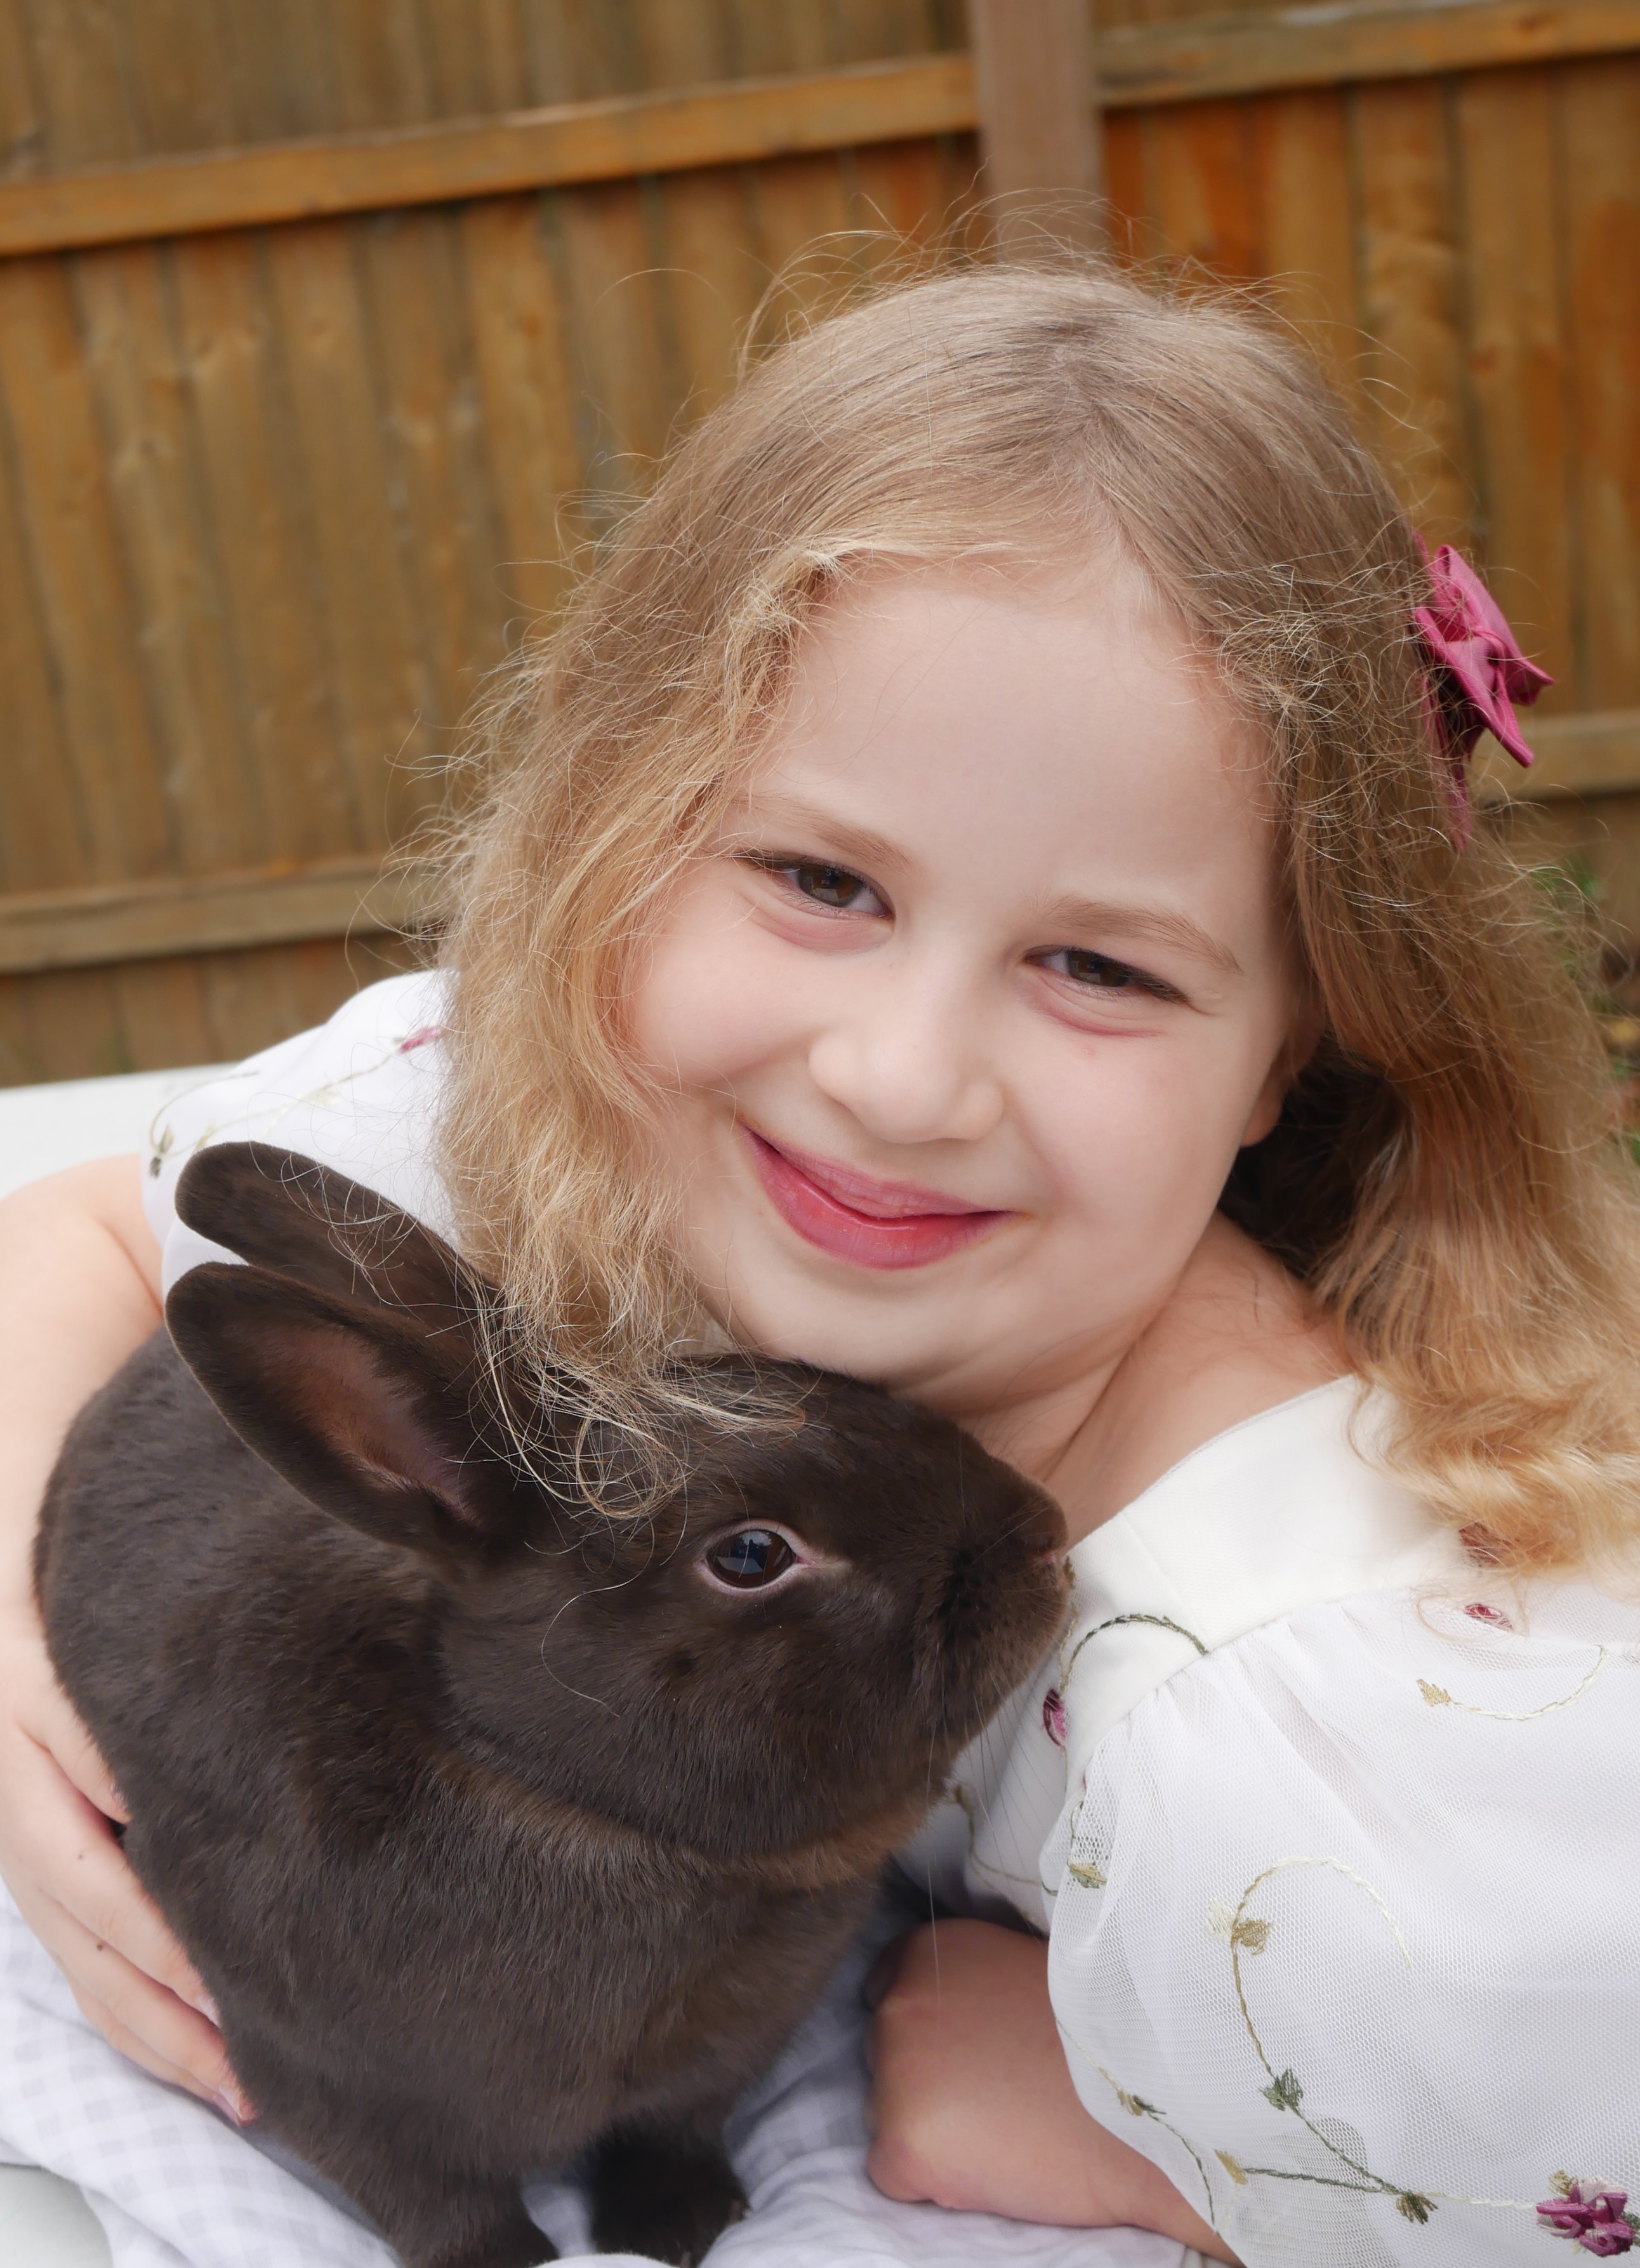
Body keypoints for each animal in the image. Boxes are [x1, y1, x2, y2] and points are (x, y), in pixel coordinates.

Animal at [38, 1152, 1070, 2268]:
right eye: (753, 1554)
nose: (1044, 1537)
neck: (561, 1797)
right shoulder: (330, 2090)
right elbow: (440, 2203)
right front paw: (518, 2260)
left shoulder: (713, 2065)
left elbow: (673, 2130)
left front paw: (678, 2223)